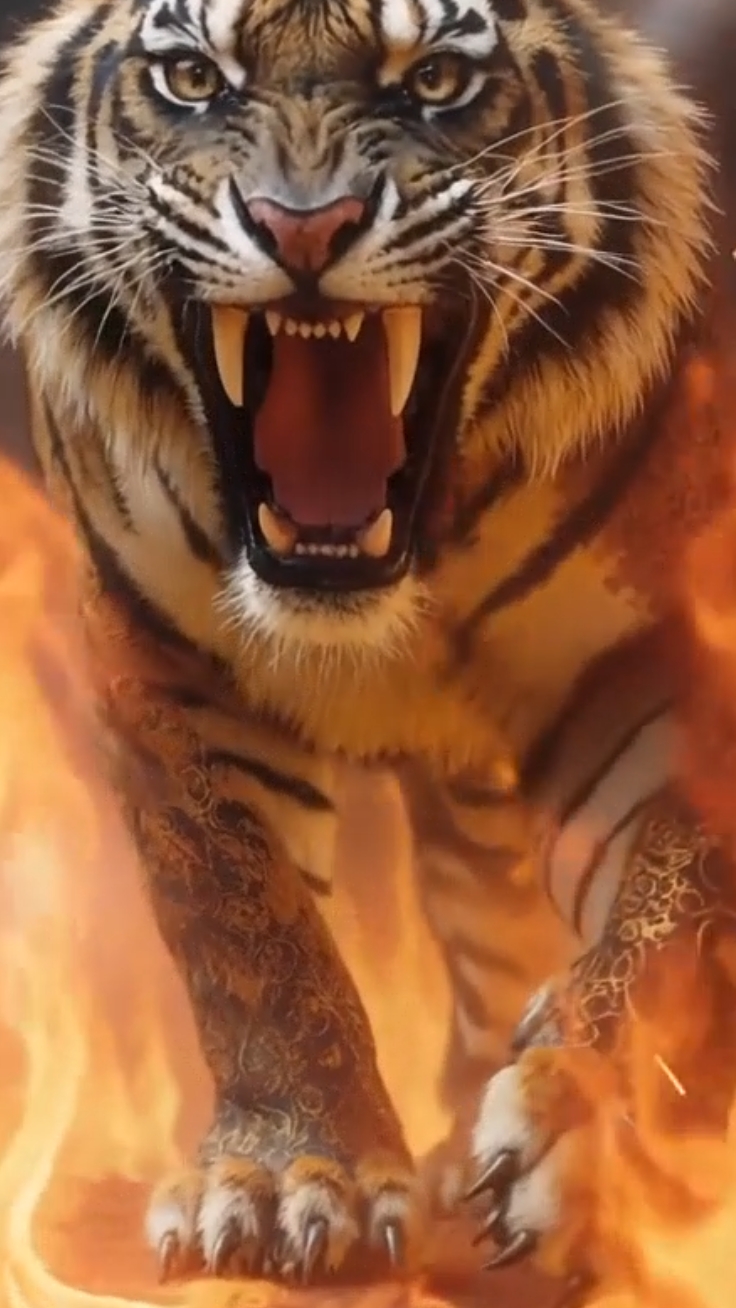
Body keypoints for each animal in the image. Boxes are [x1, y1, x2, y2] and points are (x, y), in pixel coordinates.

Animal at [1, 0, 735, 1293]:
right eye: (193, 79)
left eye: (434, 80)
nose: (305, 225)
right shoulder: (173, 673)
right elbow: (251, 935)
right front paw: (292, 1173)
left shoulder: (663, 668)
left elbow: (670, 907)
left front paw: (582, 1122)